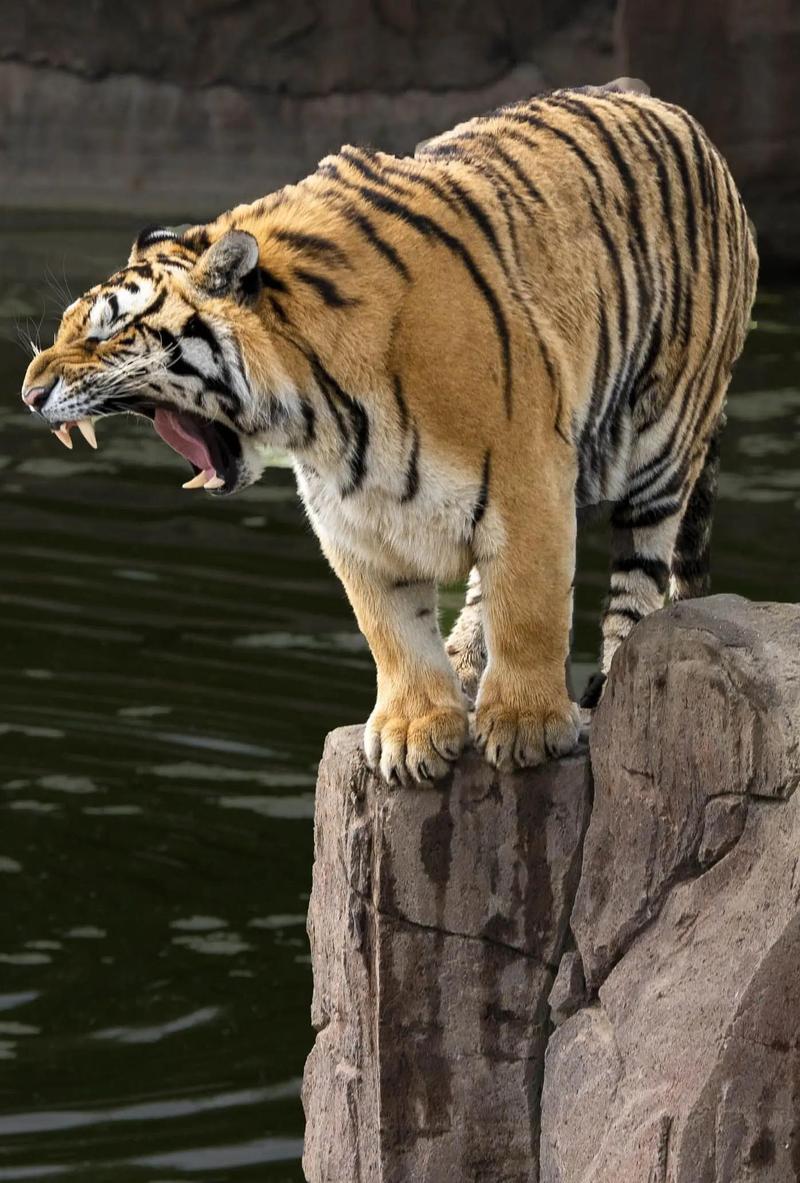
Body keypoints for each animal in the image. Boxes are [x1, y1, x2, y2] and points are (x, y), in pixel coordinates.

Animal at [20, 78, 758, 785]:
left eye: (107, 332)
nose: (28, 393)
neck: (320, 413)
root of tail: (664, 106)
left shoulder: (529, 482)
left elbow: (530, 605)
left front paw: (525, 726)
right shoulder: (354, 520)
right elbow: (393, 628)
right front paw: (416, 731)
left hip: (663, 438)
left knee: (641, 566)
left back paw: (610, 677)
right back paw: (466, 662)